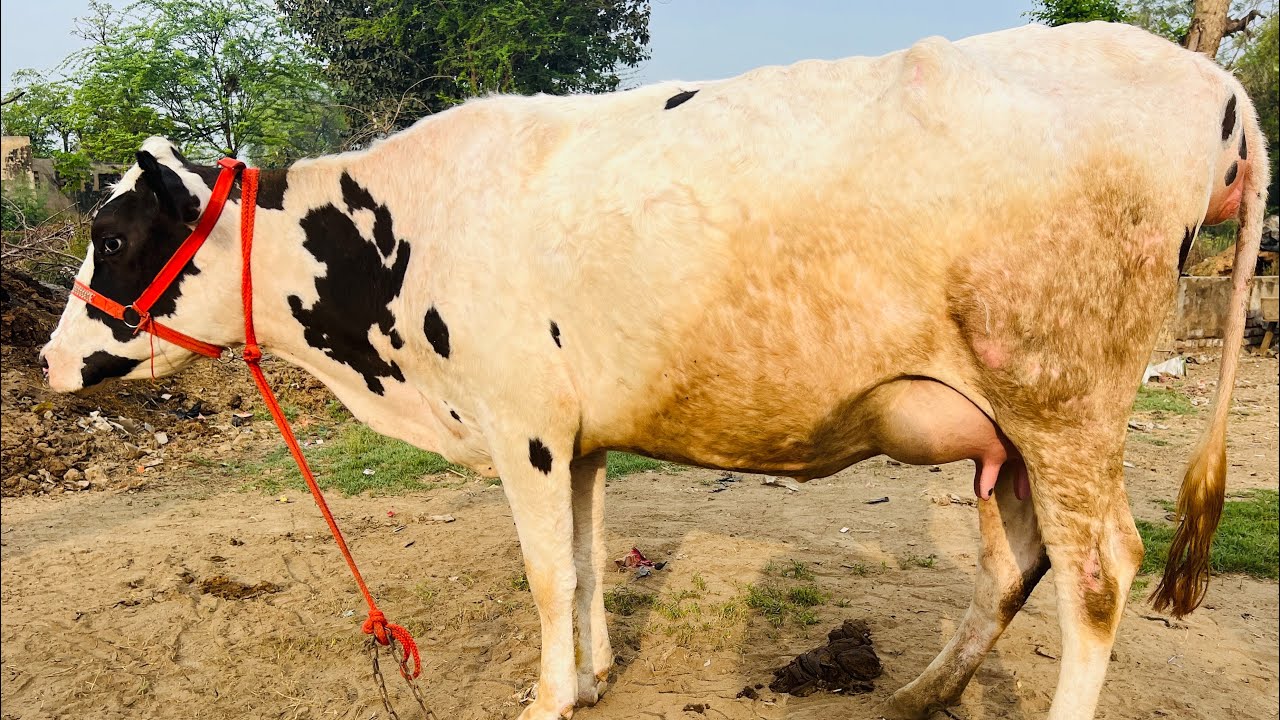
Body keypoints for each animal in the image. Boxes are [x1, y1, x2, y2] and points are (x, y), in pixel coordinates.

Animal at [39, 21, 1268, 720]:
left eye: (115, 234)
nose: (48, 356)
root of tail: (1198, 78)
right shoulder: (577, 435)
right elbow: (586, 563)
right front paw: (587, 680)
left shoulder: (523, 426)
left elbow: (545, 573)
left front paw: (544, 699)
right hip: (1007, 423)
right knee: (1016, 559)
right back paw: (918, 695)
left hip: (1064, 398)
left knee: (1099, 570)